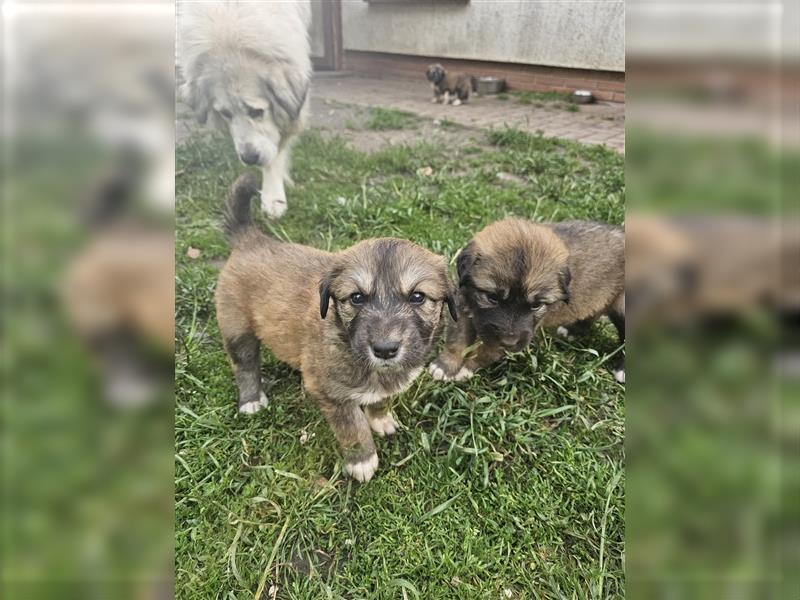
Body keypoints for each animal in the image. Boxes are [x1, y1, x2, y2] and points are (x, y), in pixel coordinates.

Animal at [216, 171, 460, 480]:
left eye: (418, 297)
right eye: (356, 298)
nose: (385, 350)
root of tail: (251, 238)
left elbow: (380, 398)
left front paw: (380, 419)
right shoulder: (331, 393)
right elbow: (352, 426)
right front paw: (362, 461)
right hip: (236, 328)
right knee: (245, 364)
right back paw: (251, 400)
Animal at [432, 220, 624, 384]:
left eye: (536, 305)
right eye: (492, 297)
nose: (509, 342)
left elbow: (485, 351)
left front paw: (466, 369)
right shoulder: (463, 305)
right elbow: (457, 340)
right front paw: (446, 366)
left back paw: (622, 370)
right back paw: (572, 330)